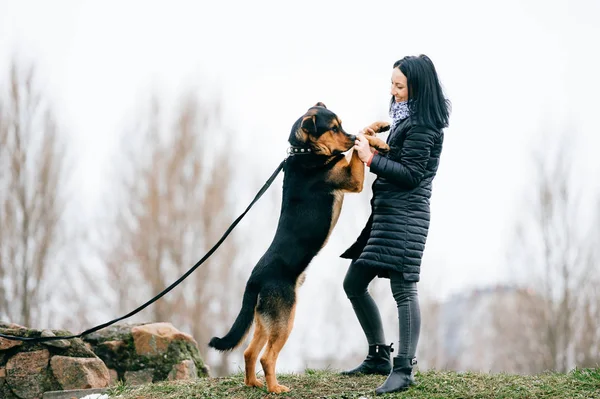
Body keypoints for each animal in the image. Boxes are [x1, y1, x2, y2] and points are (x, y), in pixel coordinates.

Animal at [210, 102, 390, 394]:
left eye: (342, 125)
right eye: (333, 128)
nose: (348, 136)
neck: (306, 152)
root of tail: (254, 279)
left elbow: (362, 135)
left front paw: (379, 133)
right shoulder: (351, 178)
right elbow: (354, 152)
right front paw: (366, 141)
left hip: (265, 319)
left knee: (249, 352)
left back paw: (254, 384)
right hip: (285, 317)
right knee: (266, 356)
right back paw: (275, 388)